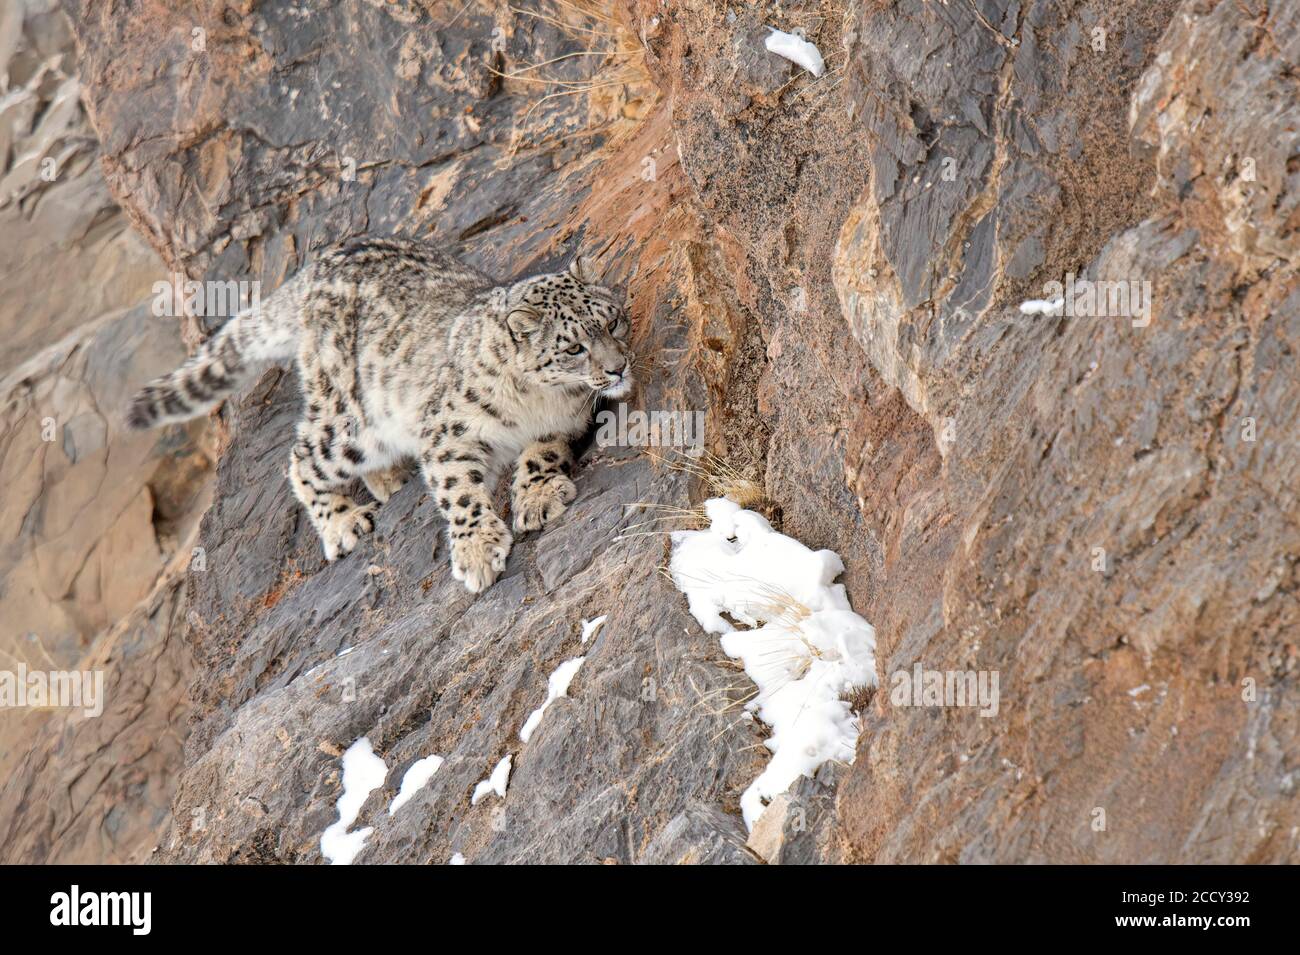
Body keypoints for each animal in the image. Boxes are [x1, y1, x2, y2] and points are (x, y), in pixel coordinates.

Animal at [124, 239, 631, 595]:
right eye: (573, 347)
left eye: (613, 321)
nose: (618, 367)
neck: (540, 399)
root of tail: (320, 263)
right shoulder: (447, 432)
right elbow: (457, 490)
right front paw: (477, 552)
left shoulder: (568, 419)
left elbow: (542, 453)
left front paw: (537, 497)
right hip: (349, 423)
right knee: (301, 456)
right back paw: (342, 523)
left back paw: (390, 479)